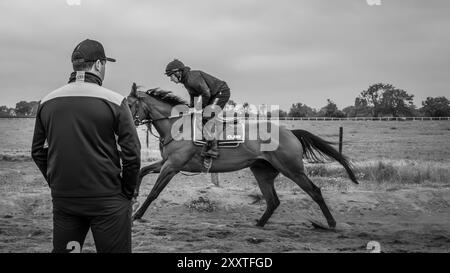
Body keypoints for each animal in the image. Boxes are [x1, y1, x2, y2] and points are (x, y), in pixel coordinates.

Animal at [127, 83, 358, 227]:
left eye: (130, 104)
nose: (127, 122)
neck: (177, 126)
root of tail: (291, 132)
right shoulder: (167, 162)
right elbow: (142, 171)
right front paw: (134, 195)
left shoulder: (172, 166)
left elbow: (154, 192)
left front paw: (137, 214)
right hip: (262, 171)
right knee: (273, 201)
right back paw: (259, 223)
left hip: (292, 169)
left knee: (314, 191)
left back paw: (331, 223)